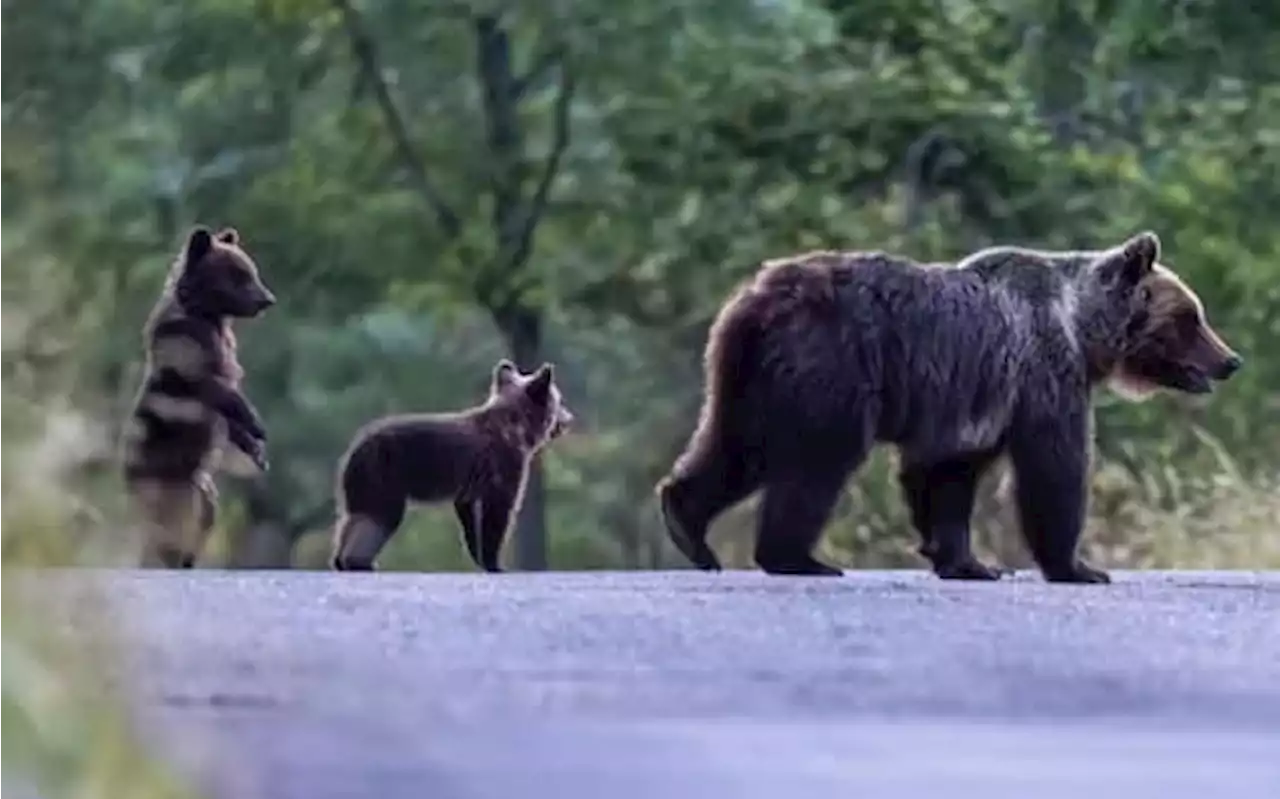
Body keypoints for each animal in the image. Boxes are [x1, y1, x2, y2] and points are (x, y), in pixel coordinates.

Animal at [120, 226, 276, 568]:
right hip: (168, 486)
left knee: (203, 517)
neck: (206, 315)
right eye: (238, 275)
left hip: (200, 489)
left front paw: (255, 448)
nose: (267, 300)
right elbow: (219, 392)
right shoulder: (186, 351)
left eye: (252, 271)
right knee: (171, 527)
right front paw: (256, 425)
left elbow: (229, 418)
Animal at [330, 358, 576, 571]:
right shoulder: (502, 470)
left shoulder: (469, 488)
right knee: (379, 518)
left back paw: (341, 560)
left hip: (361, 486)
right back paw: (359, 562)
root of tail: (356, 447)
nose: (569, 418)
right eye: (559, 401)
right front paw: (494, 564)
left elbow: (469, 519)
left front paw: (478, 558)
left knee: (352, 518)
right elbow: (497, 516)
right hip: (384, 476)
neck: (517, 431)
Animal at [660, 230, 1239, 581]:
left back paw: (688, 527)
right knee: (817, 462)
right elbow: (1054, 468)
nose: (1230, 360)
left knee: (736, 448)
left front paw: (968, 562)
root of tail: (756, 298)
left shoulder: (976, 402)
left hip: (749, 378)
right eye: (1191, 317)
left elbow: (947, 476)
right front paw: (1079, 566)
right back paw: (798, 558)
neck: (1082, 329)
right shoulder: (1042, 374)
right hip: (832, 364)